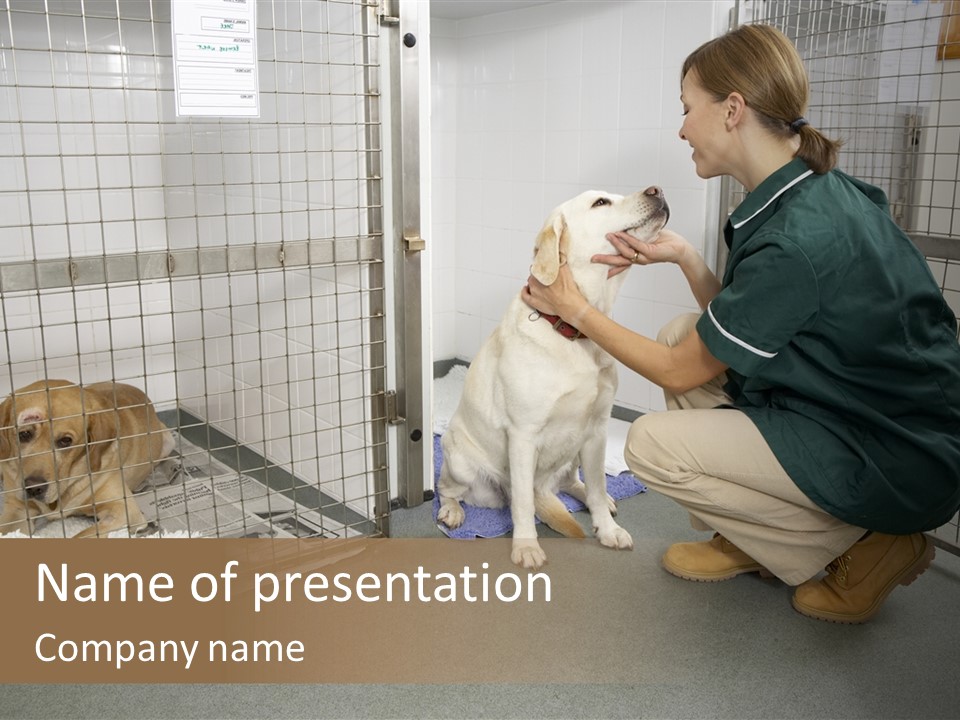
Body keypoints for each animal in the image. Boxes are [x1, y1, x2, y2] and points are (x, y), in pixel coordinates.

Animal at [0, 380, 174, 536]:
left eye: (65, 441)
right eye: (24, 434)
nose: (33, 488)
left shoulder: (125, 510)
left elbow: (82, 535)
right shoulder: (17, 508)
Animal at [440, 186, 672, 568]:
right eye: (600, 203)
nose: (657, 190)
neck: (573, 331)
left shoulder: (597, 430)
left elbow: (598, 486)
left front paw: (607, 529)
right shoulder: (522, 435)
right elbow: (522, 503)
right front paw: (526, 547)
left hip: (574, 454)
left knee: (574, 482)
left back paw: (593, 497)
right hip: (459, 460)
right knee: (451, 490)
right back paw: (452, 512)